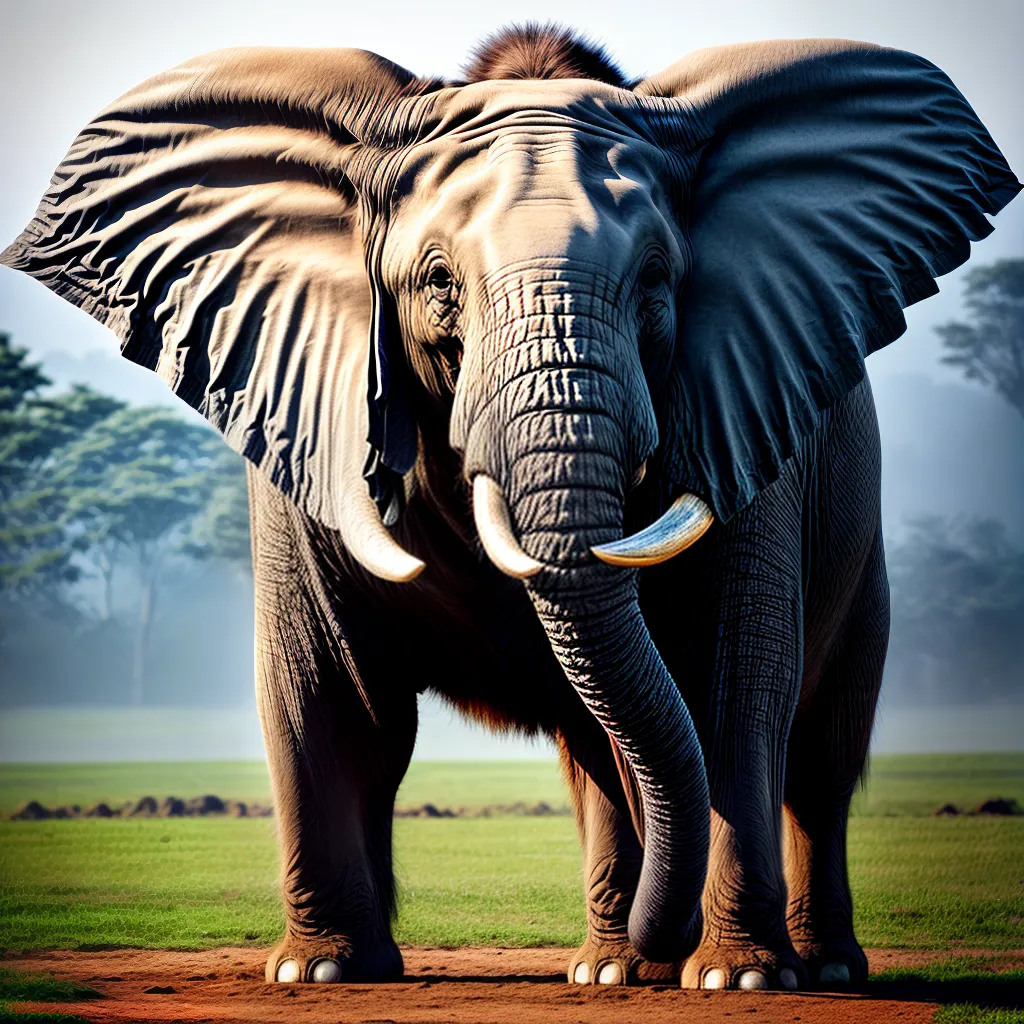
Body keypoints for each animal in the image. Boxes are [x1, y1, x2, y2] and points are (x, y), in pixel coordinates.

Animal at [3, 24, 1019, 992]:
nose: (671, 936)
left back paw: (807, 967)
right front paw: (322, 970)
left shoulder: (746, 401)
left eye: (658, 282)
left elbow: (735, 676)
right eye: (438, 284)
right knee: (608, 750)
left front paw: (742, 978)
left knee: (816, 753)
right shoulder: (305, 409)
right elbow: (328, 690)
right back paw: (616, 967)